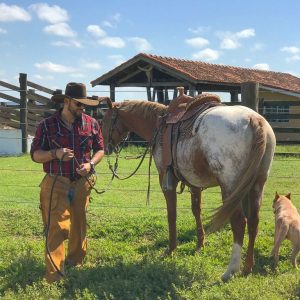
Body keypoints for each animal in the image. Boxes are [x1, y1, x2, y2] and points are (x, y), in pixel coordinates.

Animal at [101, 96, 276, 282]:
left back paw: (230, 270)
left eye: (104, 121)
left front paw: (171, 249)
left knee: (239, 223)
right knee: (254, 221)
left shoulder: (166, 178)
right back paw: (247, 267)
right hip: (257, 185)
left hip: (231, 188)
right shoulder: (194, 183)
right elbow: (196, 211)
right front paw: (200, 244)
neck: (158, 124)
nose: (106, 148)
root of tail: (255, 120)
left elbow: (172, 215)